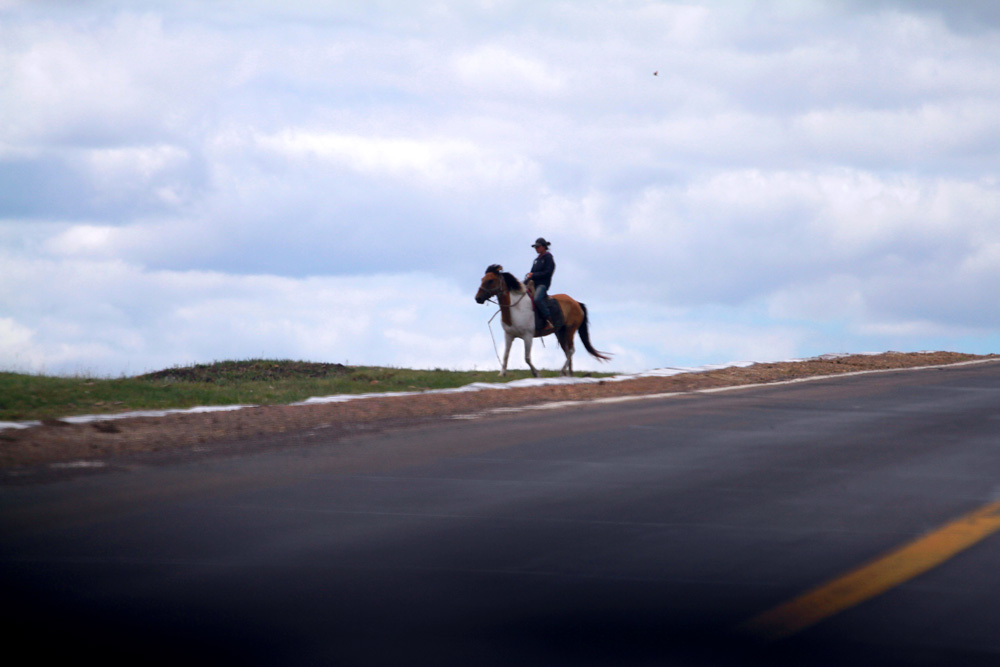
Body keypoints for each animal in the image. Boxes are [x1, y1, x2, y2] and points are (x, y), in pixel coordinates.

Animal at [474, 264, 608, 378]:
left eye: (490, 280)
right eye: (482, 279)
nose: (478, 298)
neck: (515, 308)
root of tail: (576, 303)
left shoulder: (527, 336)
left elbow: (527, 358)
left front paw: (536, 373)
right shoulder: (509, 335)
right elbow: (505, 355)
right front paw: (502, 373)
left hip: (570, 330)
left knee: (570, 351)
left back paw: (563, 372)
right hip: (560, 332)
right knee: (567, 351)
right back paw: (569, 374)